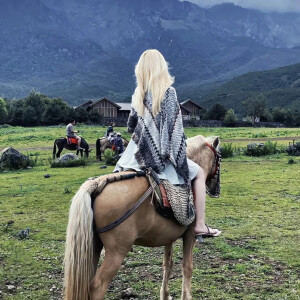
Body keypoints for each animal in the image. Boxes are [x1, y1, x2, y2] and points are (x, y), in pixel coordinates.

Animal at [63, 135, 220, 300]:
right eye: (218, 158)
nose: (215, 189)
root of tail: (97, 184)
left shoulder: (168, 237)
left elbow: (168, 264)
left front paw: (165, 294)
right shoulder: (190, 235)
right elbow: (187, 267)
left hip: (92, 248)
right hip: (116, 252)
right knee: (97, 285)